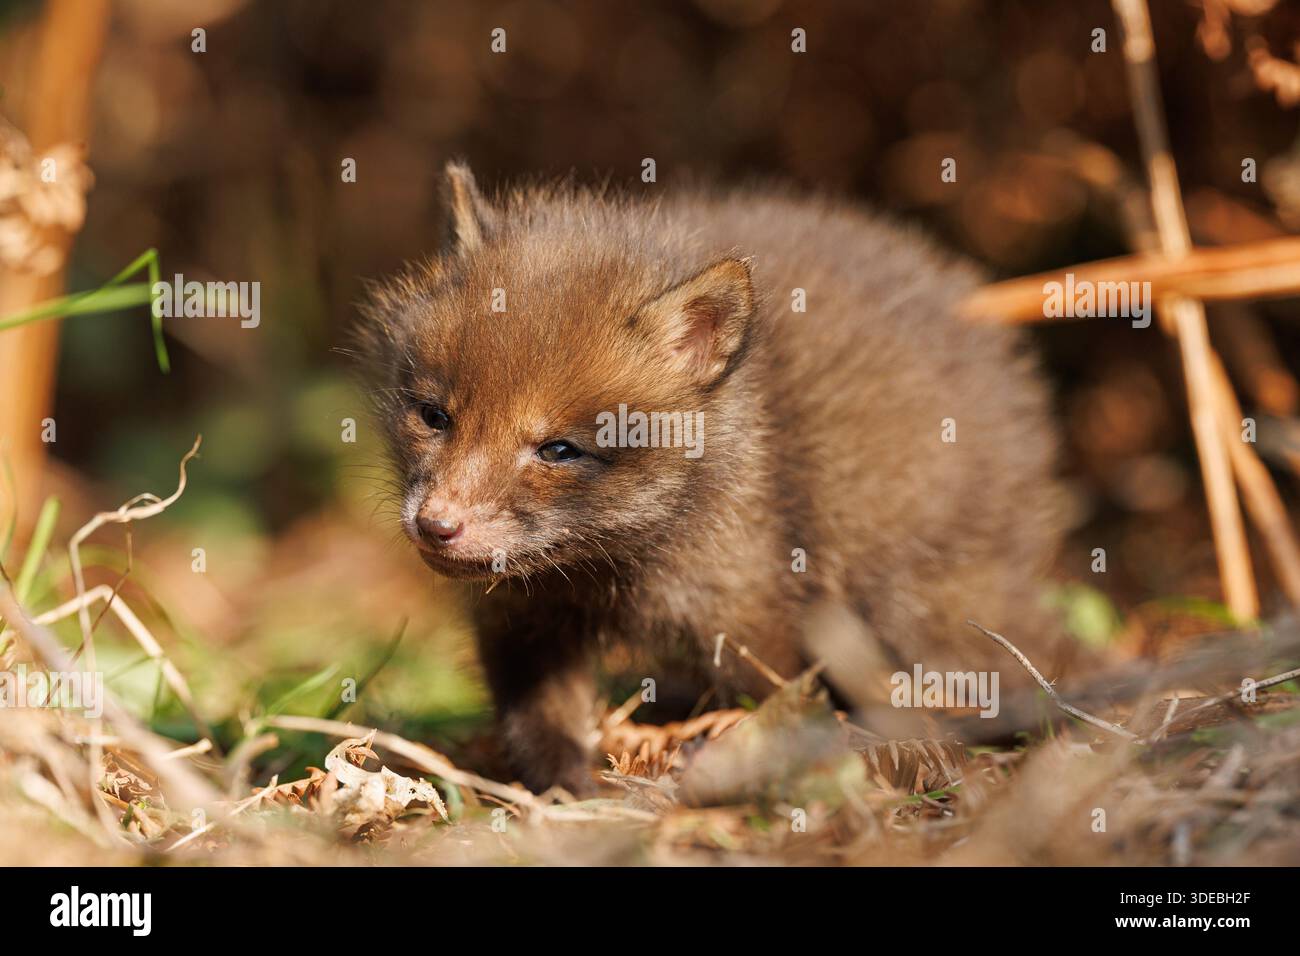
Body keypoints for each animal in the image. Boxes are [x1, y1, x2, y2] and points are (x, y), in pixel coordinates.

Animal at [357, 163, 1063, 793]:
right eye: (433, 416)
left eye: (558, 449)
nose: (436, 525)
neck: (602, 569)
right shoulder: (522, 622)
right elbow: (539, 731)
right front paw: (570, 798)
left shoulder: (755, 613)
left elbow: (777, 707)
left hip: (924, 606)